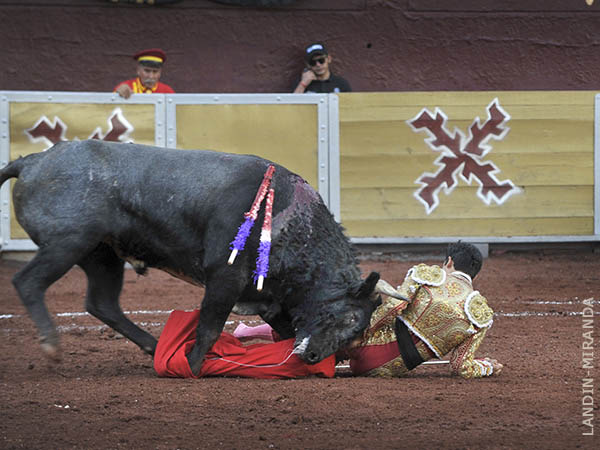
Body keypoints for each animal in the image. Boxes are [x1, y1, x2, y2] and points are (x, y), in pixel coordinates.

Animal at [0, 140, 380, 372]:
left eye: (358, 328)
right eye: (348, 318)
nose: (315, 356)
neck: (289, 220)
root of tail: (33, 161)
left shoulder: (266, 297)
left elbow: (285, 332)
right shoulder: (224, 277)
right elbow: (209, 327)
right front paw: (195, 367)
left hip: (101, 255)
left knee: (102, 303)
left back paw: (153, 348)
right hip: (68, 243)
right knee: (28, 282)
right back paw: (51, 345)